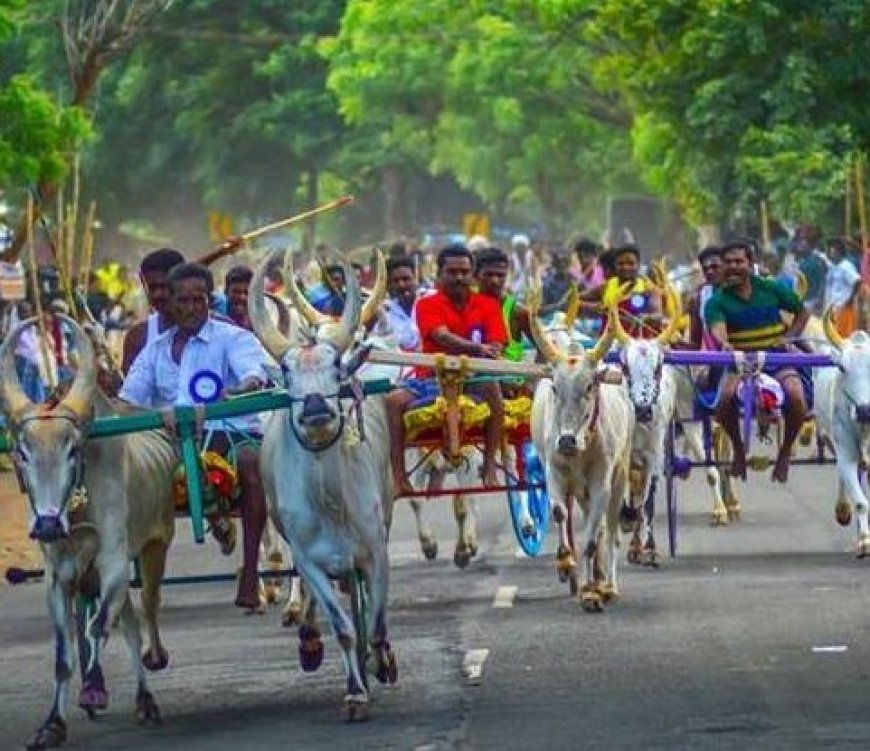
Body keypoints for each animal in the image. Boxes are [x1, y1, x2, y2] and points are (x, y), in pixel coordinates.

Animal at [0, 316, 177, 748]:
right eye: (23, 452)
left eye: (73, 449)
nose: (47, 524)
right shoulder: (57, 578)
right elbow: (64, 655)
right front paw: (53, 724)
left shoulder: (113, 562)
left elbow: (98, 628)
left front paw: (93, 689)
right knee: (127, 620)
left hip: (155, 545)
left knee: (142, 612)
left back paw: (149, 681)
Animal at [249, 250, 398, 720]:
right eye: (286, 371)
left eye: (336, 366)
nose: (315, 409)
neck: (329, 500)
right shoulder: (308, 559)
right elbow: (343, 626)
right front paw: (354, 692)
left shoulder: (376, 550)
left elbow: (377, 620)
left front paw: (382, 662)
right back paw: (309, 638)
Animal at [528, 294, 632, 612]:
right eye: (554, 388)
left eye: (589, 386)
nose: (566, 441)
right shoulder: (552, 470)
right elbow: (560, 512)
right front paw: (565, 563)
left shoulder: (602, 481)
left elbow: (592, 538)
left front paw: (590, 592)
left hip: (619, 476)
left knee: (608, 528)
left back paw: (607, 584)